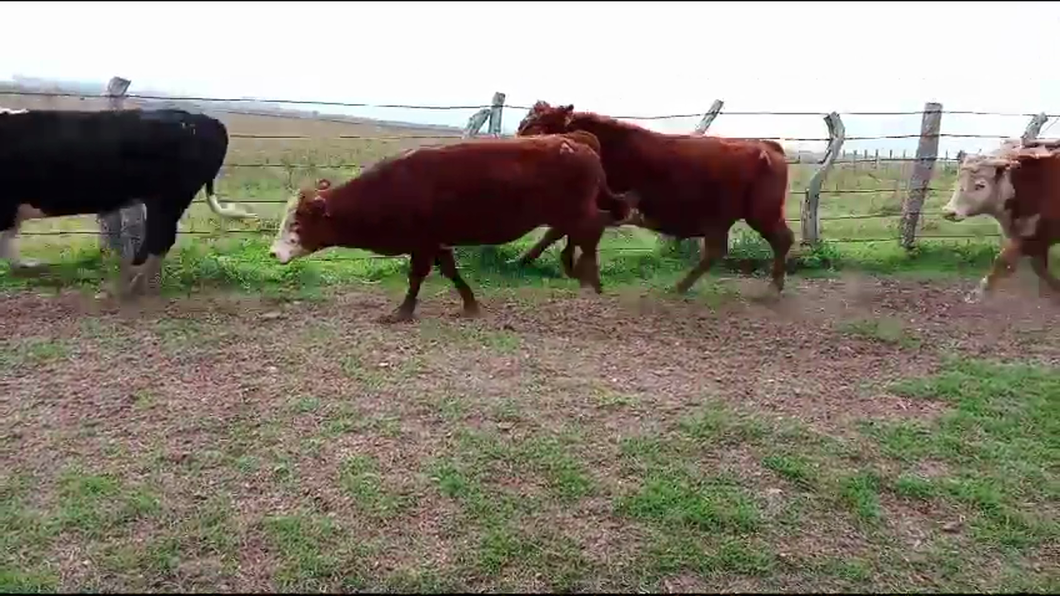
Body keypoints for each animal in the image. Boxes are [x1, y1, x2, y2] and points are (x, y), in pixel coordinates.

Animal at [269, 132, 631, 322]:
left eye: (297, 221)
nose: (273, 253)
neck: (394, 187)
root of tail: (575, 141)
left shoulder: (423, 242)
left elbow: (417, 276)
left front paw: (402, 311)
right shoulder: (436, 241)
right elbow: (450, 270)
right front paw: (470, 304)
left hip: (577, 211)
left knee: (592, 229)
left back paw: (588, 274)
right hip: (569, 213)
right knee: (576, 231)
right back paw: (574, 267)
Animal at [513, 100, 797, 294]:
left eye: (538, 125)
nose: (515, 144)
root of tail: (766, 145)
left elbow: (556, 232)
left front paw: (523, 259)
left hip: (759, 214)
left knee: (780, 240)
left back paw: (772, 287)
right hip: (728, 219)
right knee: (719, 251)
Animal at [945, 136, 1060, 299]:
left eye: (980, 185)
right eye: (958, 180)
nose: (949, 212)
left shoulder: (1036, 238)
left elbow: (1003, 260)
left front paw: (978, 292)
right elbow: (1039, 268)